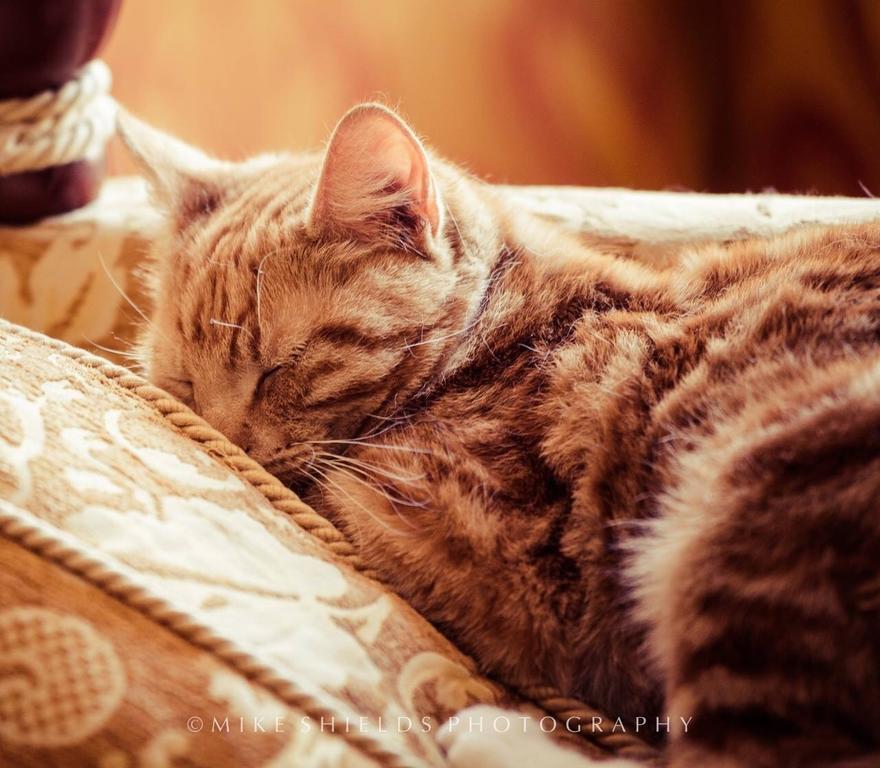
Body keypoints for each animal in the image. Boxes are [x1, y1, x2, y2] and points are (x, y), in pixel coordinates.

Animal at [122, 103, 880, 768]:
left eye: (281, 367)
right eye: (183, 383)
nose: (224, 439)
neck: (501, 342)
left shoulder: (453, 535)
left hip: (754, 495)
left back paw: (490, 734)